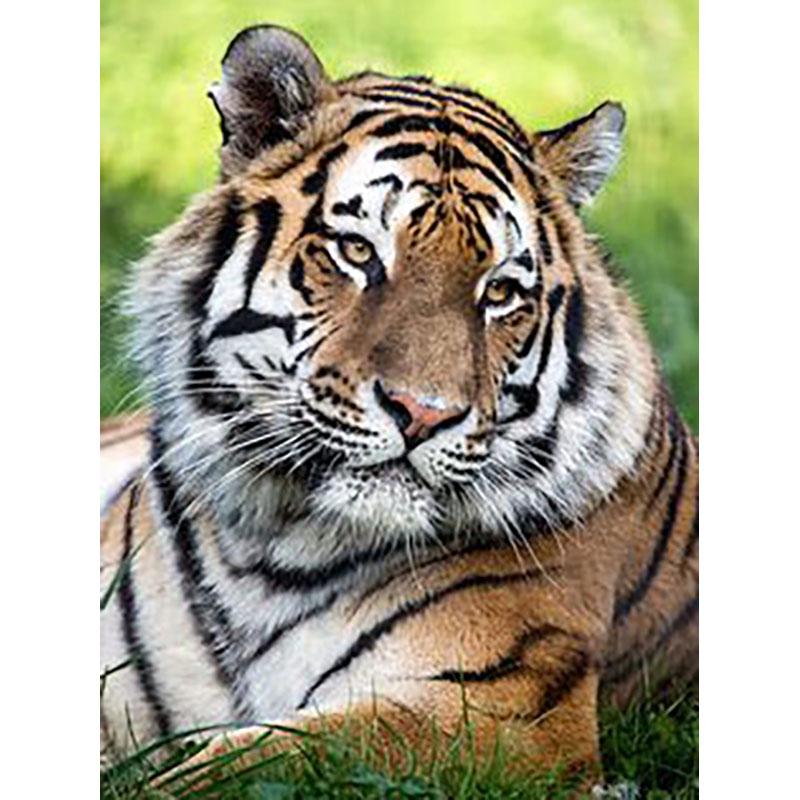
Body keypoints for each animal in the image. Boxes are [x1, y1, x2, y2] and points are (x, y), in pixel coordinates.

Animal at [100, 24, 698, 791]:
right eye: (358, 251)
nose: (422, 413)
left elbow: (251, 760)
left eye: (499, 291)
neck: (264, 552)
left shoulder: (497, 717)